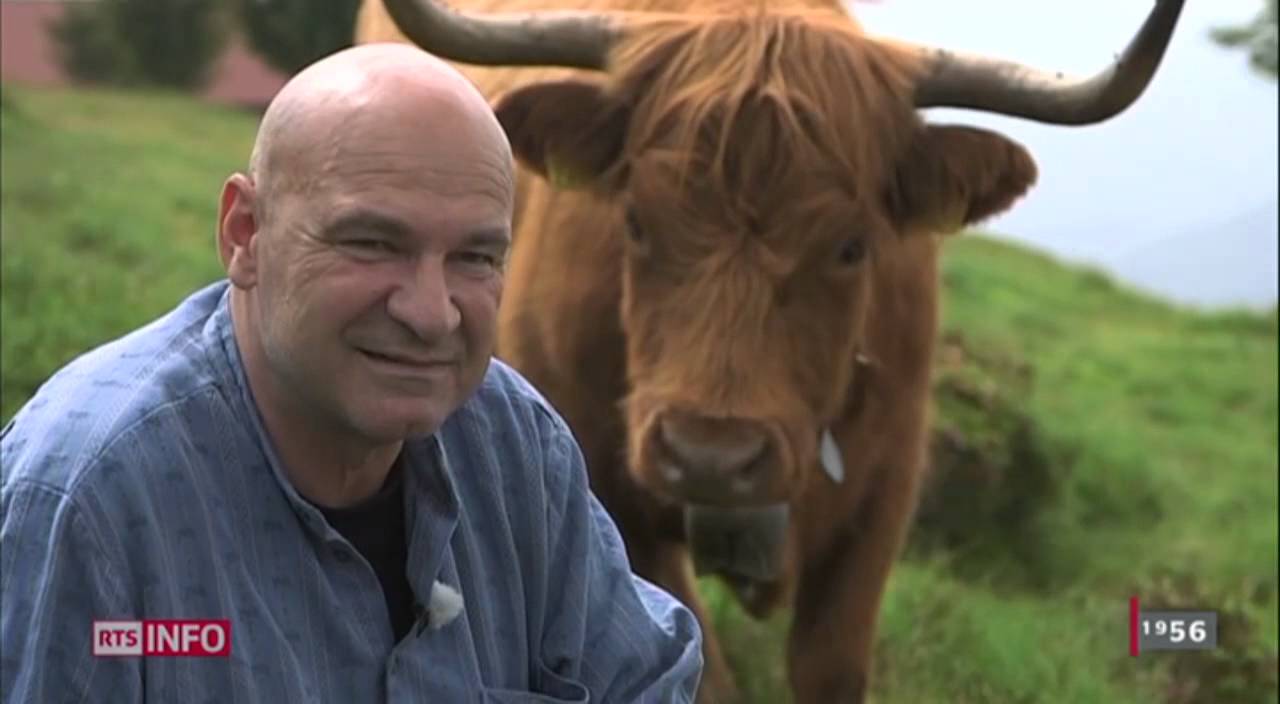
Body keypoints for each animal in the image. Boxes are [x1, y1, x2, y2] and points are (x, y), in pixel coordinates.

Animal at [355, 1, 1183, 701]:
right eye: (636, 222)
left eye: (852, 246)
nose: (712, 457)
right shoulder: (606, 495)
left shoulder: (885, 488)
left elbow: (829, 664)